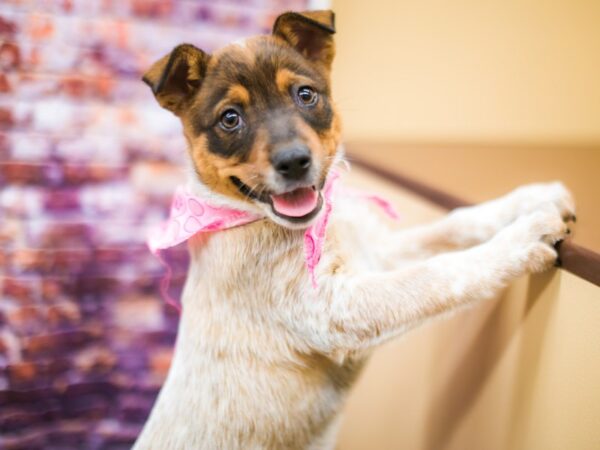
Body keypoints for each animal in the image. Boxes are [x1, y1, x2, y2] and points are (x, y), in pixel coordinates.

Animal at [134, 8, 576, 448]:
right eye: (230, 118)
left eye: (305, 95)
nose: (294, 161)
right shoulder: (337, 310)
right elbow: (440, 275)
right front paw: (523, 239)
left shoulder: (376, 253)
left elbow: (455, 223)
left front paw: (534, 198)